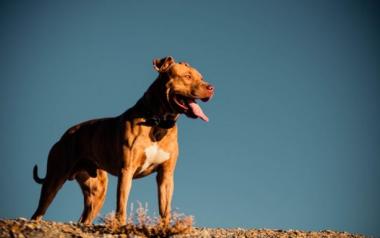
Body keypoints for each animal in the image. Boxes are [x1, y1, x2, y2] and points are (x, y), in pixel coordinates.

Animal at [30, 56, 214, 225]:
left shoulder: (166, 175)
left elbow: (165, 209)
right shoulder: (126, 171)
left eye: (201, 77)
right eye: (187, 76)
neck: (157, 123)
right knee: (39, 211)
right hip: (54, 179)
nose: (211, 88)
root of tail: (65, 134)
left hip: (97, 191)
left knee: (85, 218)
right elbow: (122, 205)